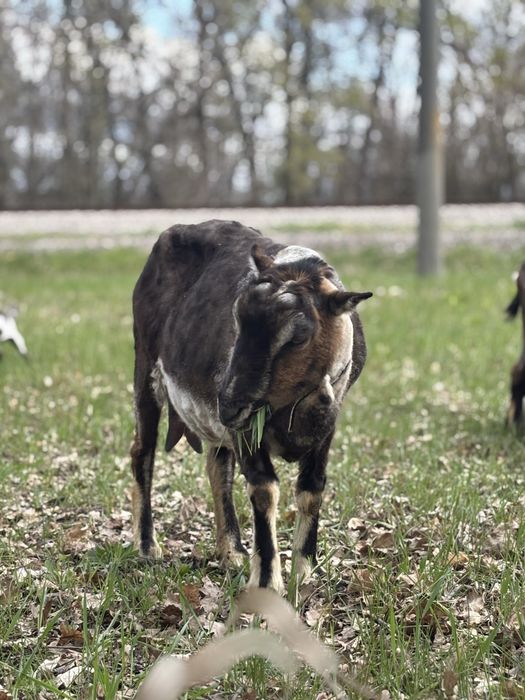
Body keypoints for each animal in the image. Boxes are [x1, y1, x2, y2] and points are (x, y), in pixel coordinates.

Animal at [131, 220, 372, 591]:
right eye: (237, 317)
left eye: (298, 336)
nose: (228, 405)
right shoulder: (247, 429)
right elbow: (264, 489)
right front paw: (267, 582)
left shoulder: (328, 424)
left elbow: (312, 488)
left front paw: (304, 573)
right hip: (146, 366)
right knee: (143, 453)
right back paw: (147, 546)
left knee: (218, 467)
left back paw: (231, 552)